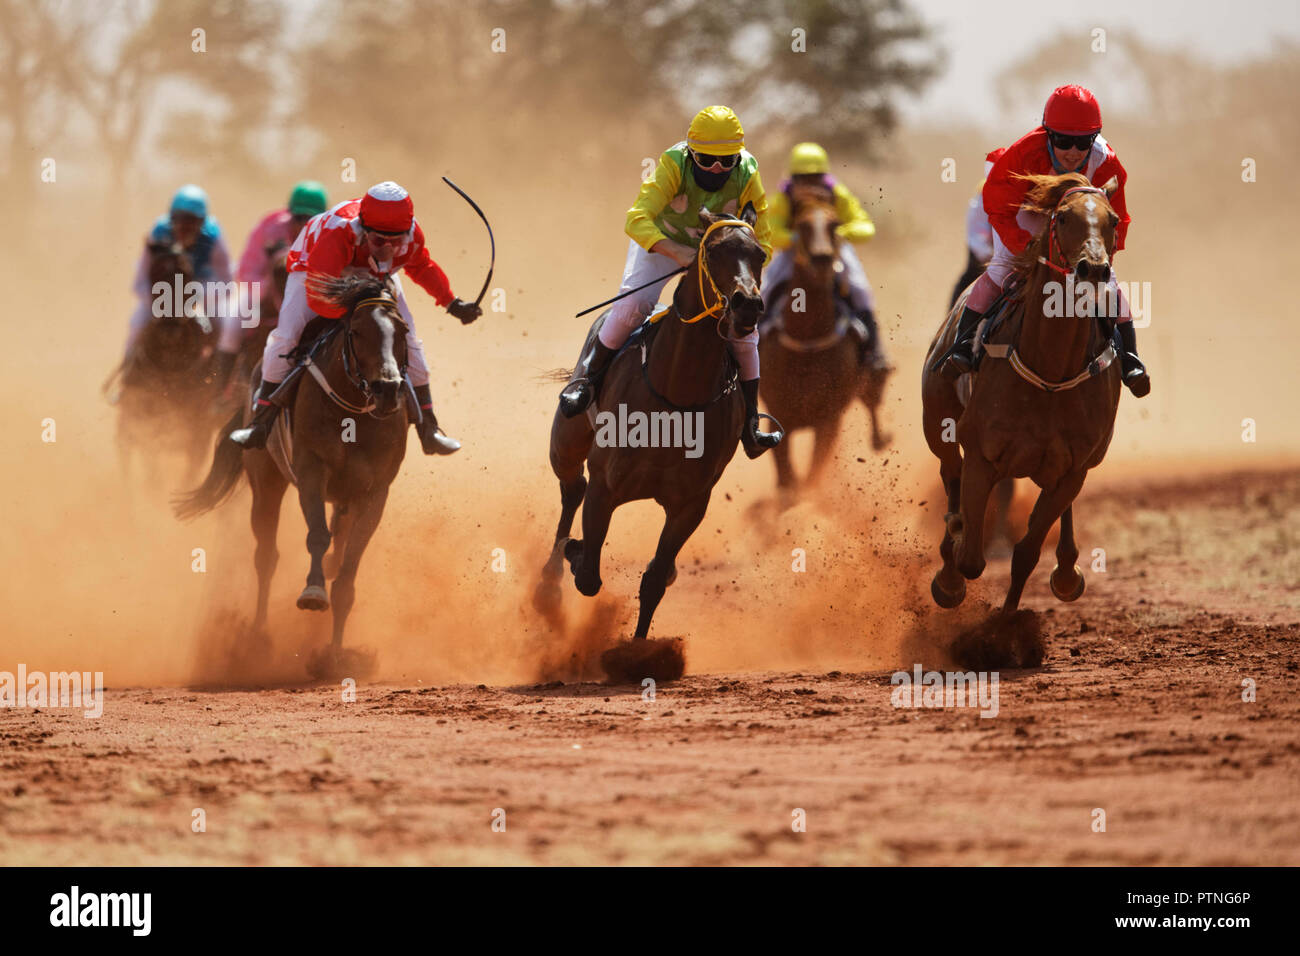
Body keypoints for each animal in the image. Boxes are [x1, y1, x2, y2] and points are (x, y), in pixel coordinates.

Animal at [178, 273, 408, 671]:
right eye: (357, 331)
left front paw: (334, 656)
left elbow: (348, 573)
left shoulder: (374, 491)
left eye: (403, 330)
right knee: (266, 556)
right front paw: (313, 592)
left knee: (336, 546)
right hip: (266, 480)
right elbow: (316, 536)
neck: (354, 416)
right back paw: (255, 638)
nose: (388, 389)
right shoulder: (311, 472)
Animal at [535, 205, 764, 647]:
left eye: (760, 254)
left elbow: (656, 578)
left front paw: (639, 651)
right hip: (565, 444)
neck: (677, 398)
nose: (748, 304)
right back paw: (549, 584)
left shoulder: (691, 505)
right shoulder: (606, 485)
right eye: (712, 250)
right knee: (572, 490)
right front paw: (574, 553)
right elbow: (588, 574)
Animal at [920, 172, 1123, 616]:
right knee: (949, 474)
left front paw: (1009, 620)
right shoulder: (981, 456)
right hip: (938, 428)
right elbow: (970, 558)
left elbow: (1027, 552)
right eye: (1063, 217)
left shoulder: (1073, 469)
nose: (1094, 269)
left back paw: (1066, 570)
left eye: (1113, 220)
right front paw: (950, 579)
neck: (1050, 368)